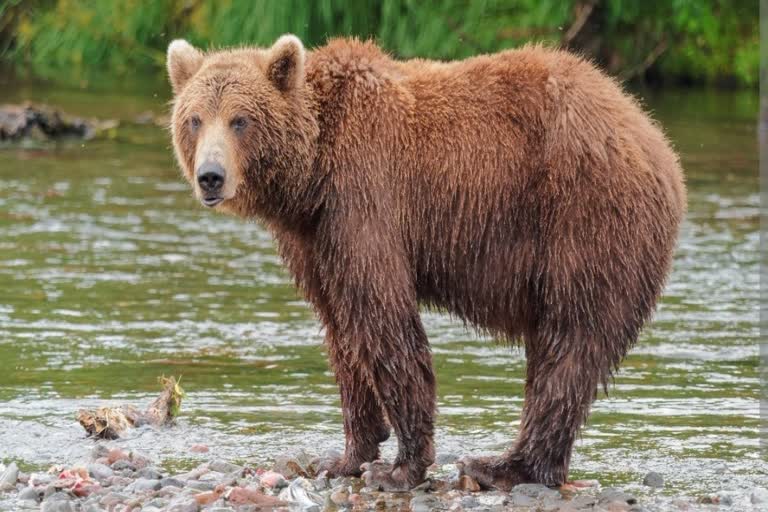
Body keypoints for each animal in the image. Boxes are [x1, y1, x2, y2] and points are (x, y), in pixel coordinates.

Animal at [166, 34, 684, 490]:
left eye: (240, 120)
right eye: (194, 119)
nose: (210, 176)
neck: (311, 174)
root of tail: (654, 137)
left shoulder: (365, 197)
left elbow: (382, 319)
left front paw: (400, 468)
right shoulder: (314, 239)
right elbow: (341, 330)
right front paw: (344, 456)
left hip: (585, 219)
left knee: (570, 343)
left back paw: (501, 466)